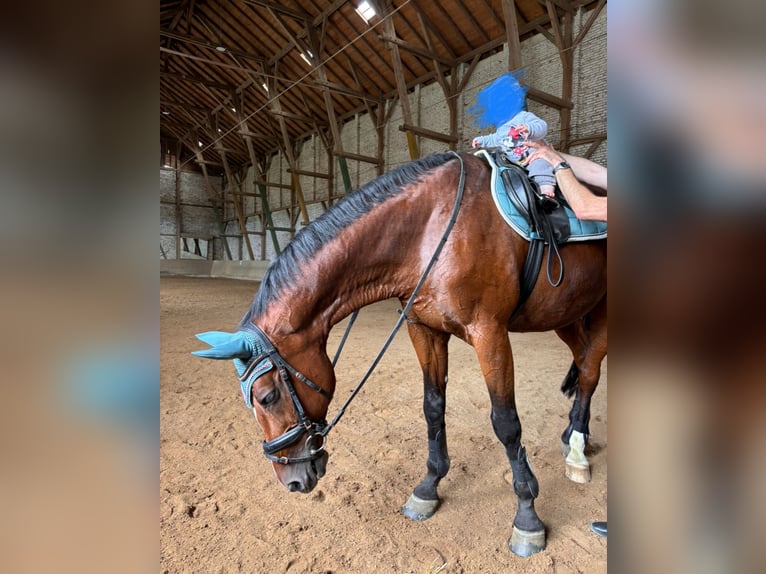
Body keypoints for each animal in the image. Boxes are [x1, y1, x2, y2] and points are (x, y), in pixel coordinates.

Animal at [195, 152, 608, 560]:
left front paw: (527, 517)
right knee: (583, 361)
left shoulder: (488, 332)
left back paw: (577, 452)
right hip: (567, 315)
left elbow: (506, 423)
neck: (430, 230)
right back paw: (573, 434)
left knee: (590, 371)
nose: (291, 481)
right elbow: (433, 408)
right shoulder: (423, 329)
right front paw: (428, 488)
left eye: (267, 396)